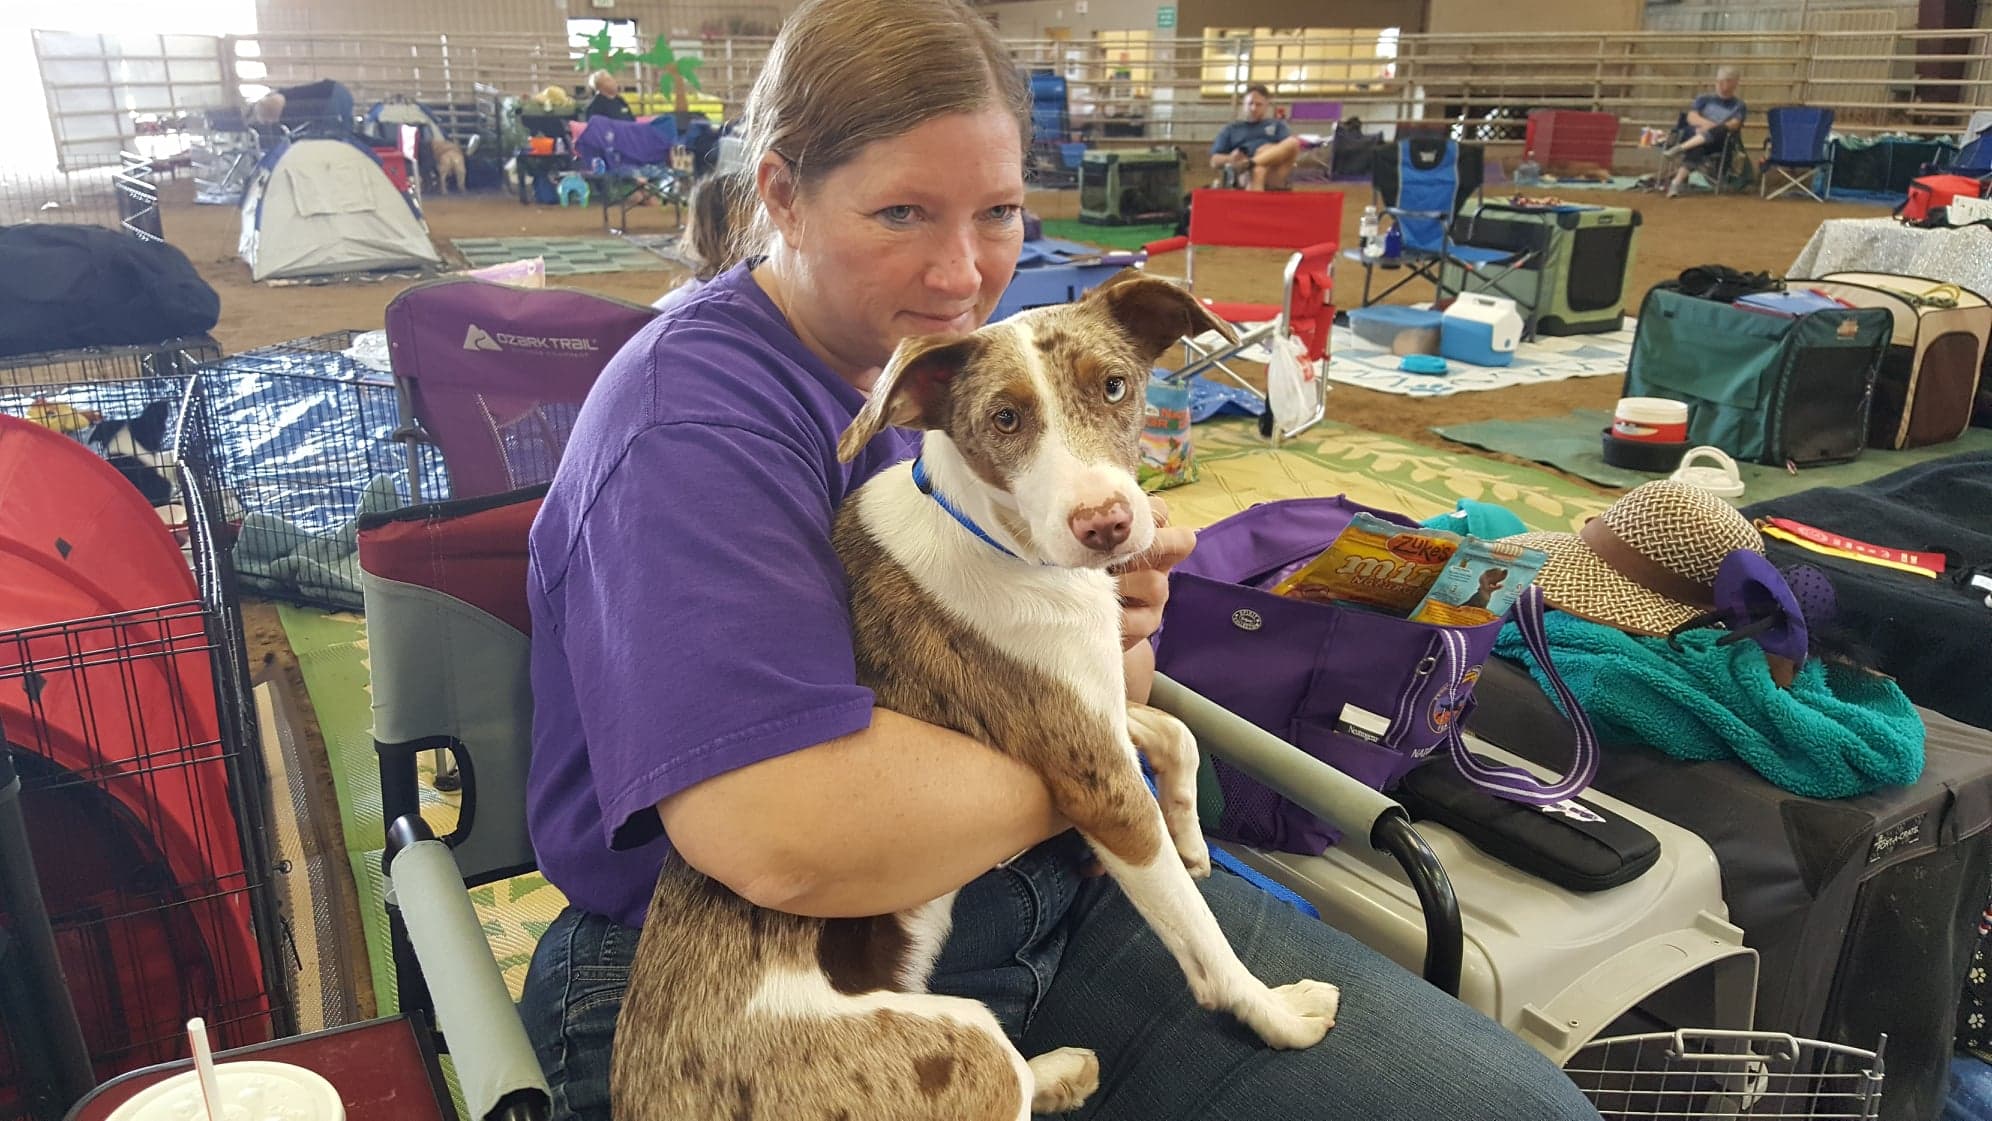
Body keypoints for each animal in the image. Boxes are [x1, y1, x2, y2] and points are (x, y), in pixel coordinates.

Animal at [609, 274, 1338, 1121]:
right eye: (1005, 418)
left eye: (1115, 386)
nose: (1107, 525)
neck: (1010, 545)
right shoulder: (1099, 785)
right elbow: (1204, 938)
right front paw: (1273, 1010)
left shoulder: (1087, 705)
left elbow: (1174, 731)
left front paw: (1190, 835)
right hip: (962, 1041)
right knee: (1003, 1074)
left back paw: (1062, 1068)